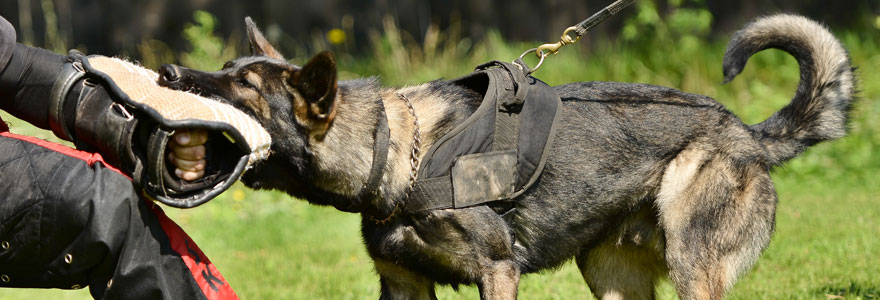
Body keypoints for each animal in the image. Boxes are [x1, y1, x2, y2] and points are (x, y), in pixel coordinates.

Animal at [156, 14, 852, 300]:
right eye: (225, 67)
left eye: (246, 88)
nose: (167, 72)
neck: (398, 153)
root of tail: (745, 132)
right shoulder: (403, 286)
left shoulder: (497, 273)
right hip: (612, 280)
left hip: (691, 266)